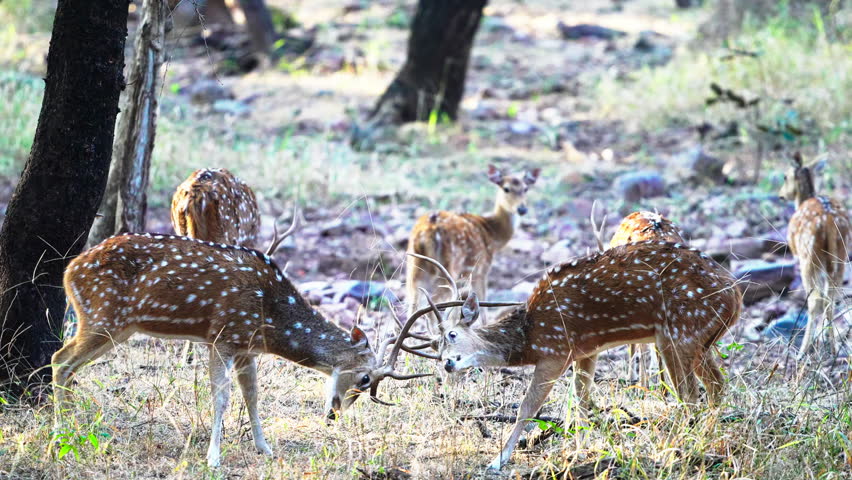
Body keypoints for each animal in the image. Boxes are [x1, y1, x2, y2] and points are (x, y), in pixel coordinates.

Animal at [52, 232, 433, 468]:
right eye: (365, 377)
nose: (335, 413)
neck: (269, 316)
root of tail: (69, 270)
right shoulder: (222, 334)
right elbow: (221, 396)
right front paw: (213, 458)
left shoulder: (247, 346)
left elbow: (251, 394)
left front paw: (265, 448)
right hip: (103, 315)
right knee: (61, 360)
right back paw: (63, 431)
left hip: (115, 325)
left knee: (67, 364)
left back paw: (73, 427)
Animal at [406, 164, 540, 331]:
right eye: (506, 189)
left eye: (525, 188)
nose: (522, 209)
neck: (492, 234)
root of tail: (427, 230)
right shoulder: (481, 271)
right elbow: (482, 307)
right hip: (450, 267)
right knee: (432, 303)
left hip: (413, 266)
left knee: (411, 306)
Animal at [419, 241, 742, 470]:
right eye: (435, 346)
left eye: (452, 334)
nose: (447, 364)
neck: (529, 337)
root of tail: (736, 297)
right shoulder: (586, 351)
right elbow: (582, 401)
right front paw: (581, 450)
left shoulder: (555, 351)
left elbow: (528, 407)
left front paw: (497, 460)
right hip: (701, 340)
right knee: (716, 385)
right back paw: (708, 440)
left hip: (678, 332)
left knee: (690, 394)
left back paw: (678, 447)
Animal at [778, 152, 850, 359]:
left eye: (785, 176)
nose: (781, 195)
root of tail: (829, 221)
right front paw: (822, 338)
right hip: (840, 256)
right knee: (831, 298)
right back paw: (833, 348)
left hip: (809, 256)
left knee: (815, 299)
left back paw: (803, 350)